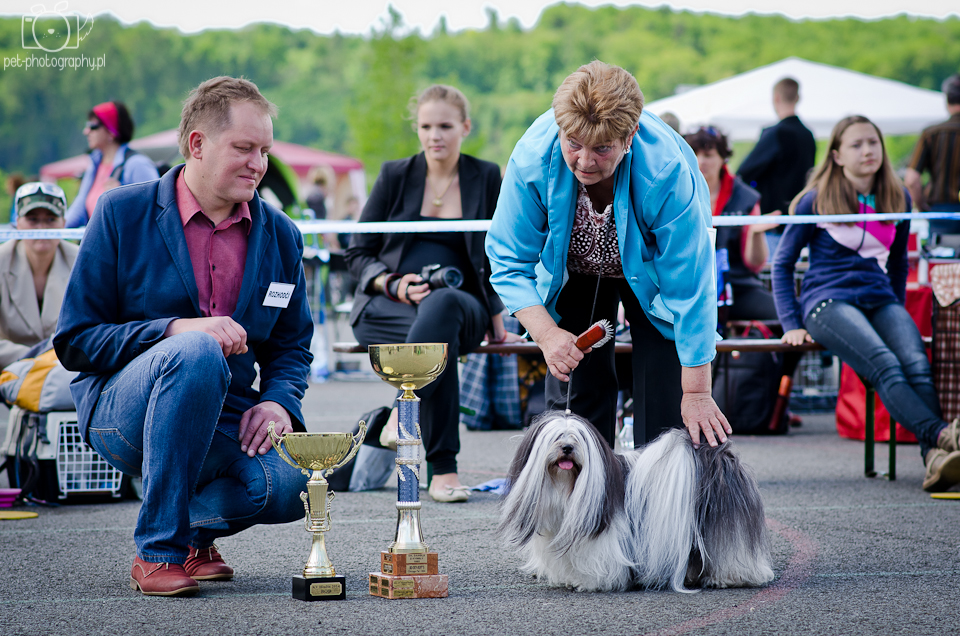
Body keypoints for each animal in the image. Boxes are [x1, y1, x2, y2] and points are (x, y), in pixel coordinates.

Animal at [499, 411, 774, 592]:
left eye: (577, 439)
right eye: (556, 437)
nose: (567, 447)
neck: (566, 489)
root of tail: (718, 456)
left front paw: (590, 582)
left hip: (726, 525)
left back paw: (729, 577)